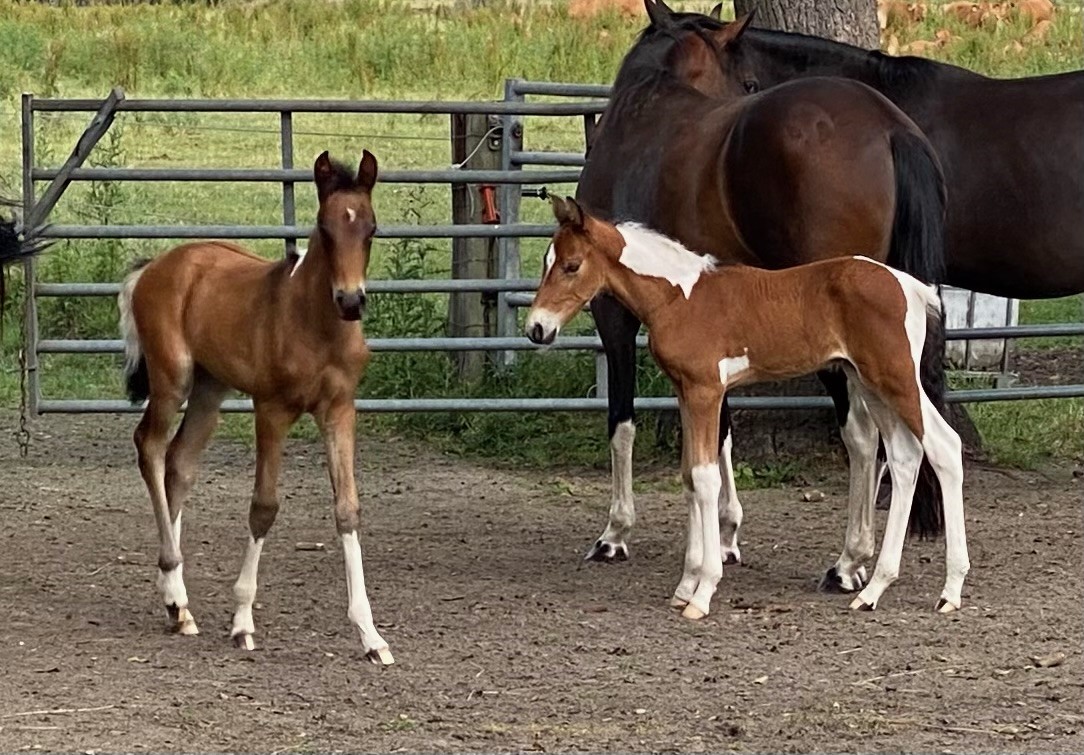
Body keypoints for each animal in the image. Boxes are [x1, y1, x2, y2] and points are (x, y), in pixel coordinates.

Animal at [117, 150, 394, 663]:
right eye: (324, 228)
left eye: (372, 228)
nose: (351, 301)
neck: (315, 323)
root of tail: (155, 266)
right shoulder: (272, 410)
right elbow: (263, 507)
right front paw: (243, 621)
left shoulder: (339, 410)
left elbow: (347, 509)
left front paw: (371, 636)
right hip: (173, 379)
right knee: (150, 447)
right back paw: (175, 590)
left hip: (210, 389)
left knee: (179, 465)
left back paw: (178, 604)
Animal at [528, 196, 971, 620]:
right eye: (547, 261)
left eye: (571, 265)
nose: (536, 328)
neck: (678, 296)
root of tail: (909, 286)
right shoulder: (686, 392)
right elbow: (689, 476)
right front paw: (685, 585)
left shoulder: (706, 391)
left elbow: (706, 478)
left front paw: (703, 591)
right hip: (868, 382)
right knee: (904, 455)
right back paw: (873, 590)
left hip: (895, 378)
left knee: (944, 446)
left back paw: (949, 591)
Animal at [576, 0, 949, 594]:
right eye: (748, 80)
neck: (645, 110)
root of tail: (887, 125)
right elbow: (720, 434)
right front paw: (725, 535)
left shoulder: (614, 315)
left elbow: (623, 422)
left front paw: (617, 532)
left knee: (863, 436)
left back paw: (849, 561)